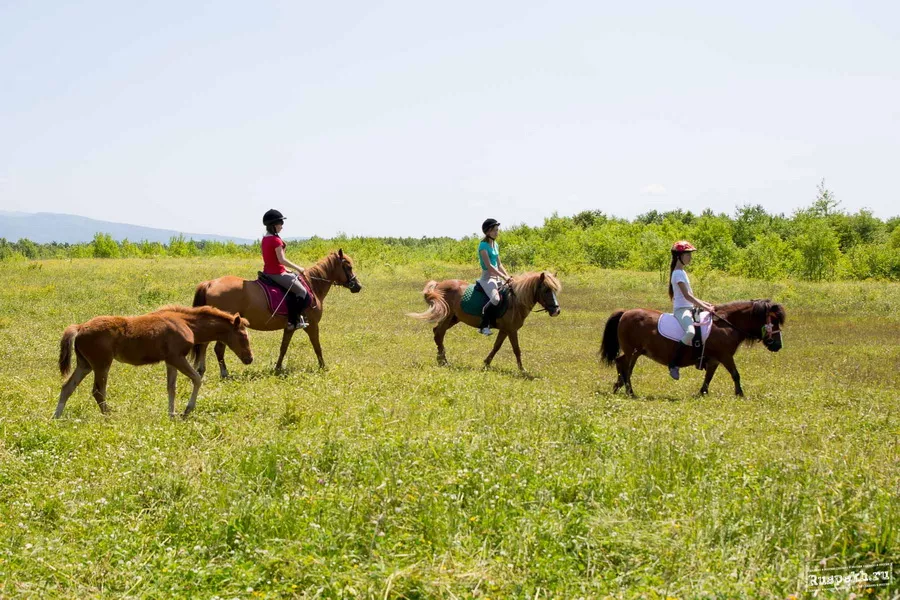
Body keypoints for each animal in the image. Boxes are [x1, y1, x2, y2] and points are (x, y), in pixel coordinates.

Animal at [55, 304, 253, 418]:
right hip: (102, 364)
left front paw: (172, 414)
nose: (249, 358)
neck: (186, 323)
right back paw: (109, 417)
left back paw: (56, 417)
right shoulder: (176, 357)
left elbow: (171, 388)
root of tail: (80, 327)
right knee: (98, 391)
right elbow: (197, 379)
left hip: (85, 364)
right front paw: (187, 410)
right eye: (243, 335)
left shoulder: (170, 361)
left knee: (67, 387)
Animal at [192, 248, 360, 376]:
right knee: (218, 349)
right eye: (348, 267)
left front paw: (277, 368)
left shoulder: (290, 326)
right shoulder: (312, 325)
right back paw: (224, 373)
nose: (358, 286)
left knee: (204, 345)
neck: (312, 285)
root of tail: (210, 283)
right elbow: (317, 346)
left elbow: (283, 348)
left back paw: (201, 371)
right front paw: (323, 367)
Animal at [410, 272, 564, 370]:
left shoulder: (505, 330)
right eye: (546, 290)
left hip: (453, 319)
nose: (556, 311)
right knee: (439, 334)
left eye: (554, 290)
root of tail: (439, 284)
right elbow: (516, 349)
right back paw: (444, 361)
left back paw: (441, 359)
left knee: (437, 333)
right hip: (447, 317)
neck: (515, 301)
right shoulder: (511, 330)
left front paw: (486, 363)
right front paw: (522, 370)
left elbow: (496, 346)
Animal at [600, 300, 784, 398]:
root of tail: (625, 312)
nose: (778, 345)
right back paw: (629, 391)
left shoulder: (714, 360)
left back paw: (619, 386)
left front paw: (702, 393)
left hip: (634, 352)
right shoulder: (725, 356)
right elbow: (735, 374)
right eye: (774, 321)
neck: (725, 325)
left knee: (622, 364)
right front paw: (740, 394)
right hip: (633, 351)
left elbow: (709, 377)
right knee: (625, 367)